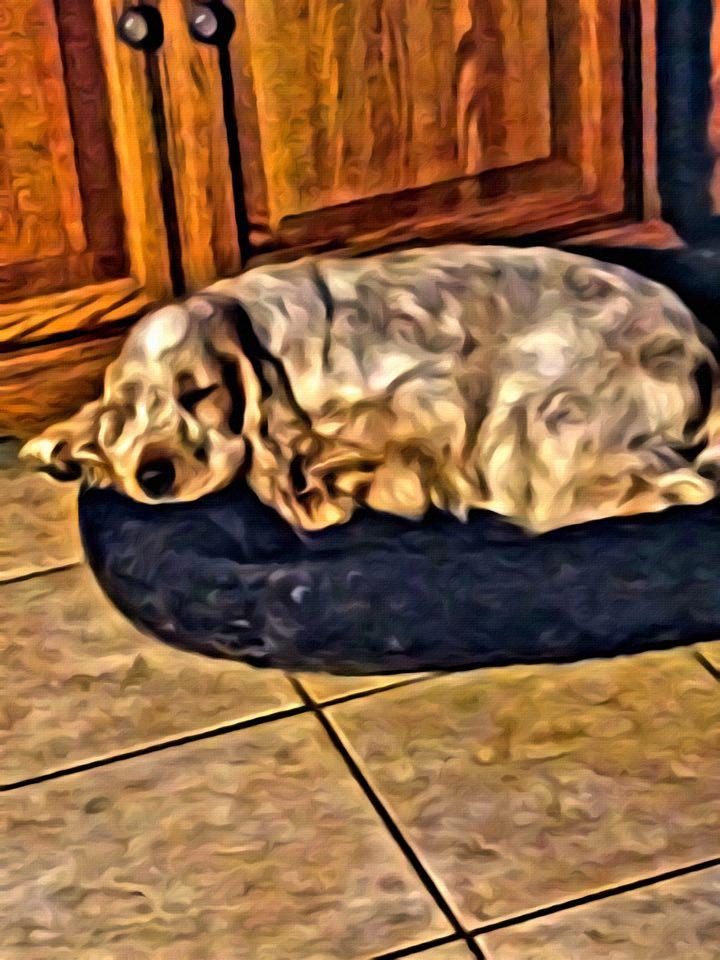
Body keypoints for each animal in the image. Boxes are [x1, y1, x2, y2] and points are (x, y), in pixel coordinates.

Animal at [20, 244, 720, 533]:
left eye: (199, 394)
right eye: (128, 413)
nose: (154, 477)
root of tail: (700, 342)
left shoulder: (425, 392)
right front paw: (68, 446)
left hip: (533, 407)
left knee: (670, 490)